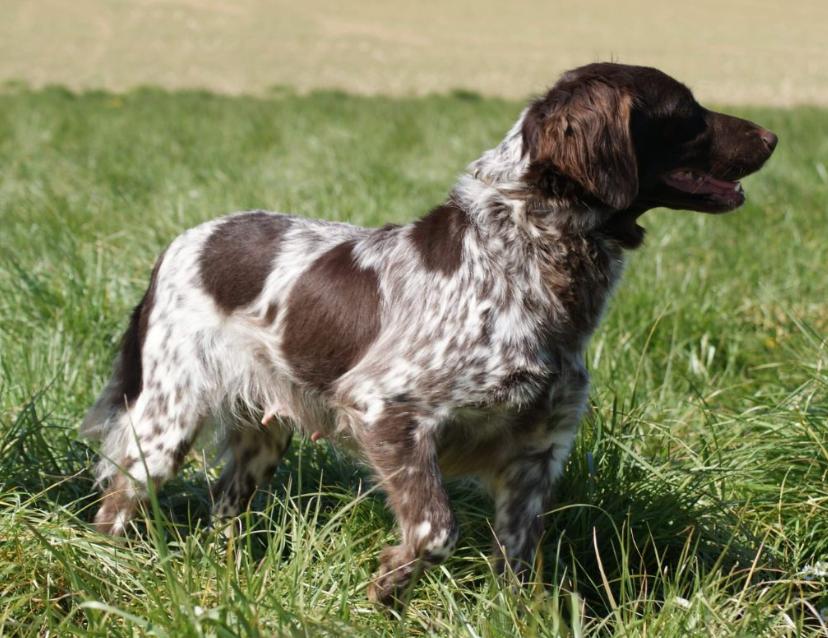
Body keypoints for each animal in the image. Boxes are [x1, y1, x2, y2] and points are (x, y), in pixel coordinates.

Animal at [82, 63, 776, 604]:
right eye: (687, 113)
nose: (774, 135)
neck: (528, 254)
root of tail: (180, 241)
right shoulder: (388, 410)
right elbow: (434, 532)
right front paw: (382, 591)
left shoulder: (537, 450)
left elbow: (520, 566)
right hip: (165, 422)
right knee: (117, 505)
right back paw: (110, 572)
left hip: (265, 433)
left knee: (224, 506)